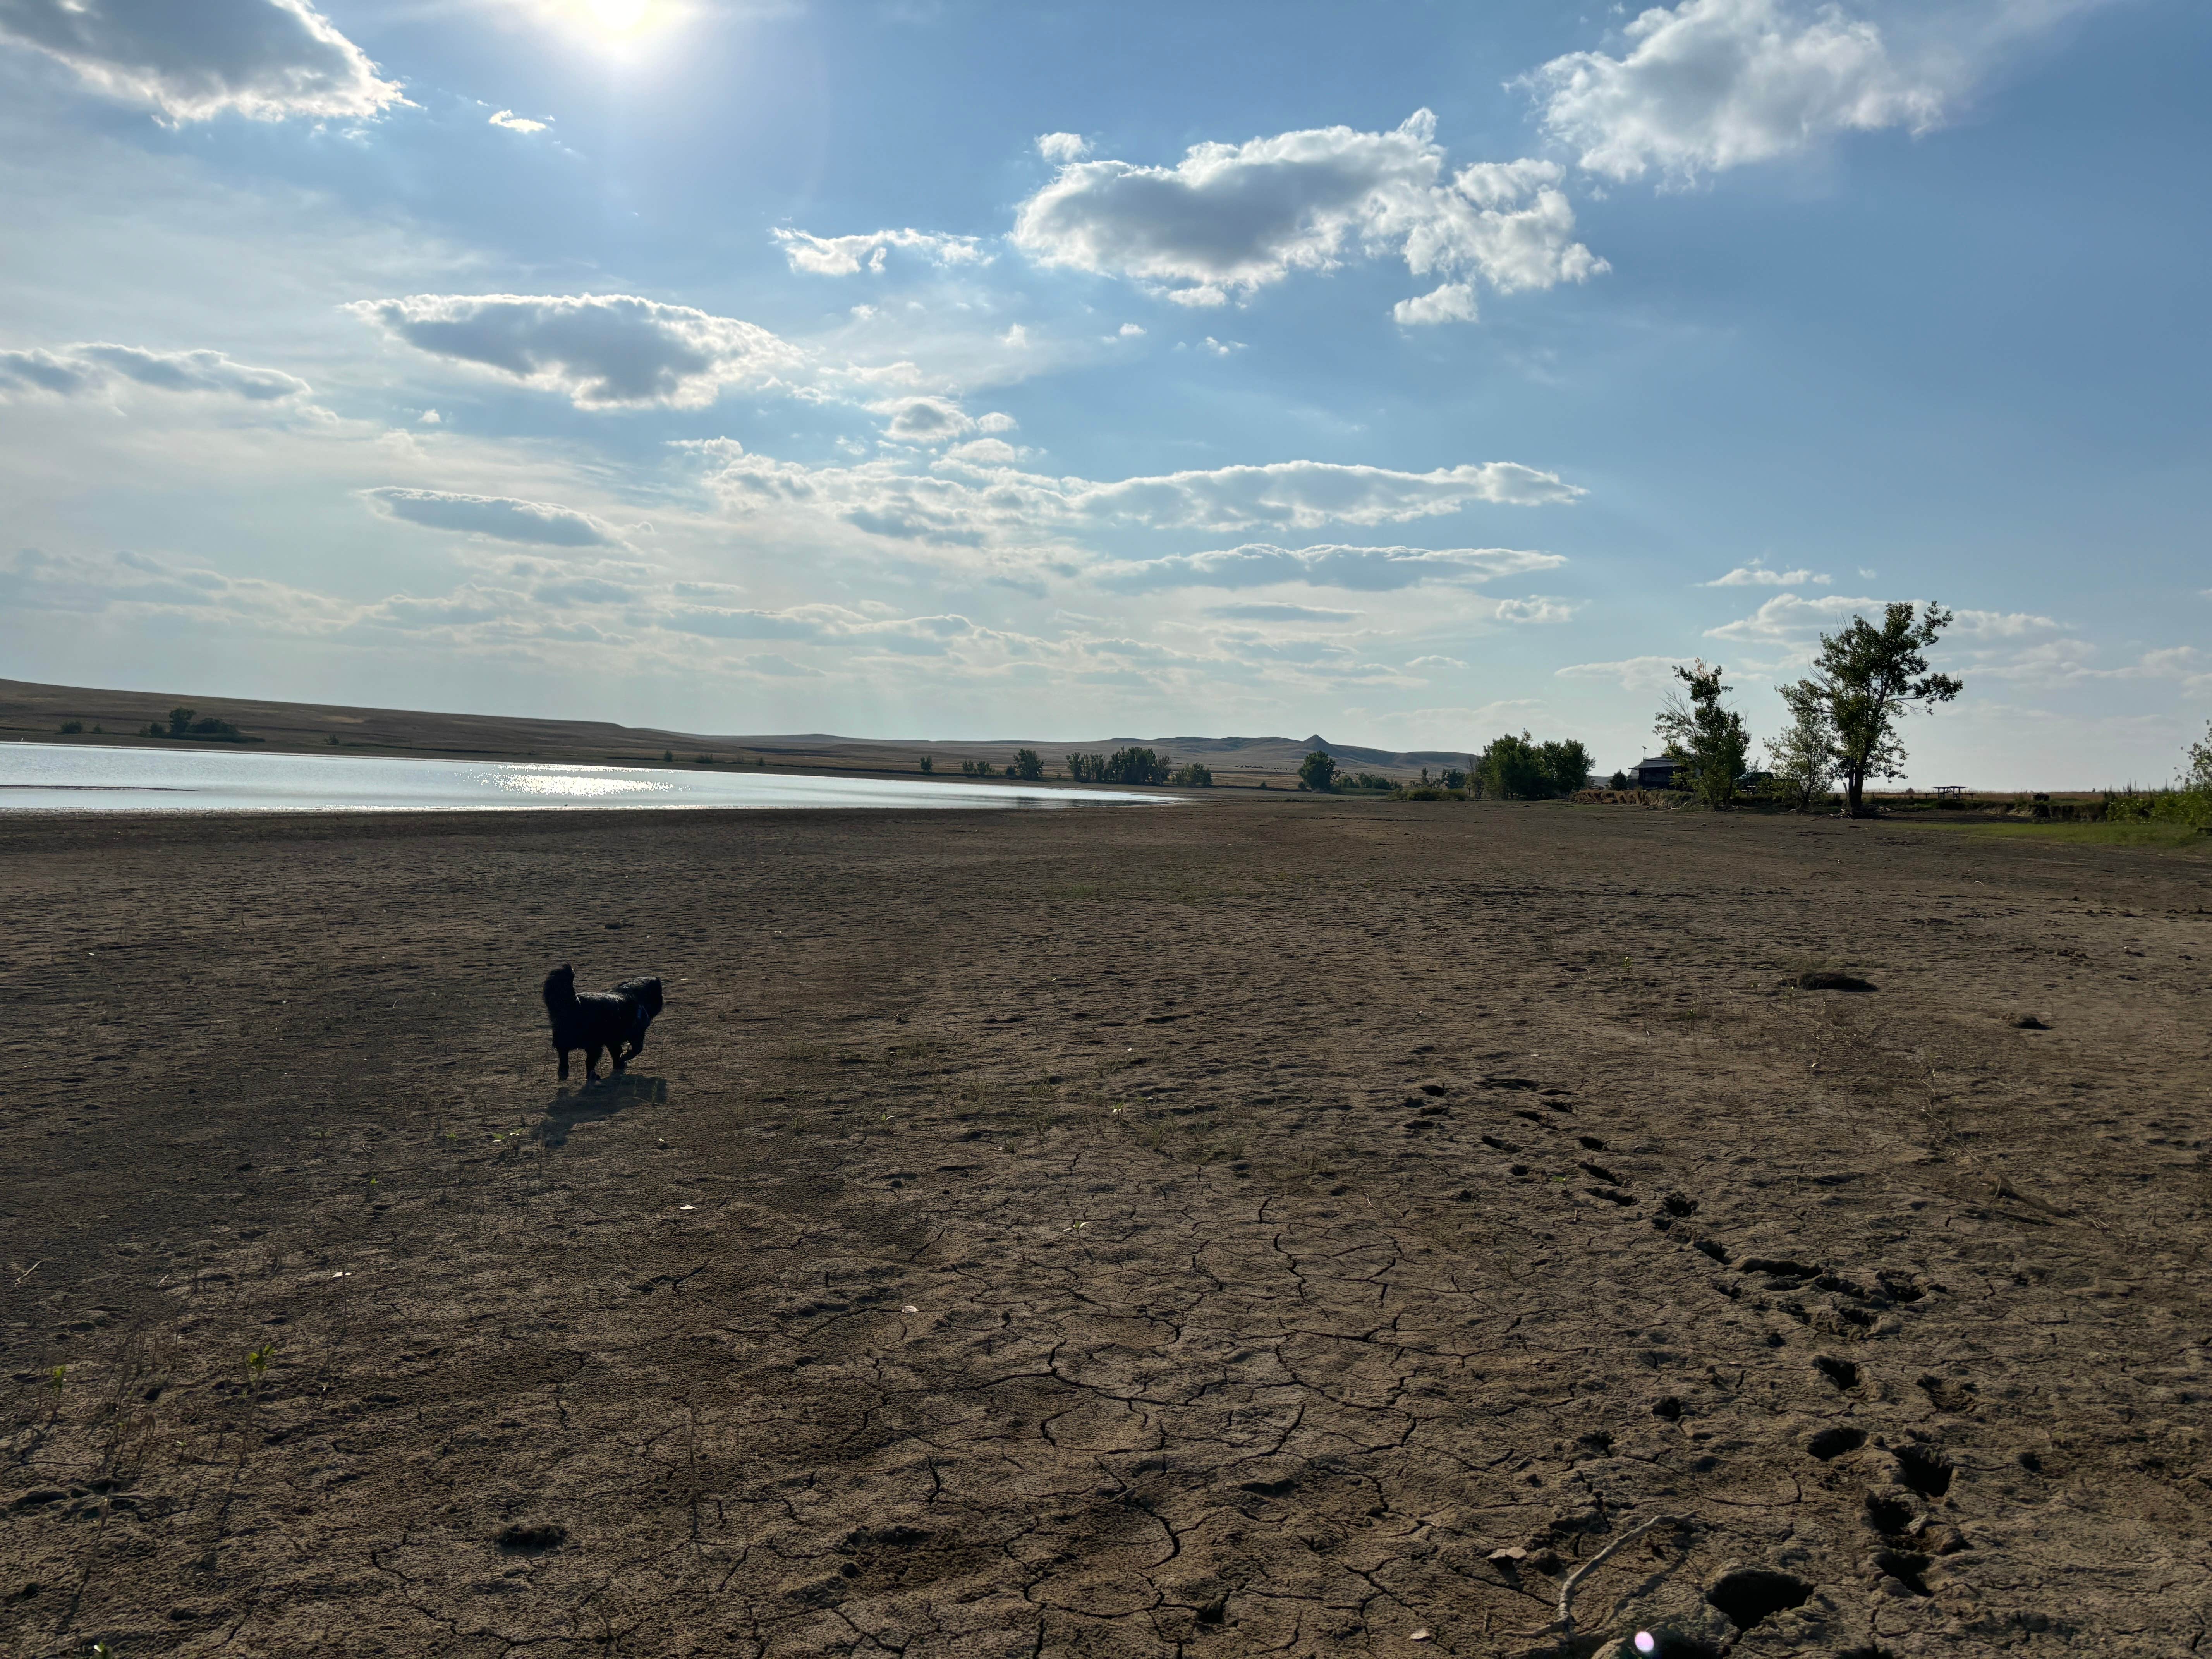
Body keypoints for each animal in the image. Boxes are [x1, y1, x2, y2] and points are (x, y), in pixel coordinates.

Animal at [544, 969, 663, 1084]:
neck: (635, 993)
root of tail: (574, 1003)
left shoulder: (613, 1041)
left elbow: (617, 1053)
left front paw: (620, 1064)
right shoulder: (637, 1035)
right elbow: (636, 1050)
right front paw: (624, 1059)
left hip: (568, 1042)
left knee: (564, 1056)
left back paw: (564, 1073)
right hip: (594, 1045)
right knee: (589, 1062)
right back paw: (593, 1076)